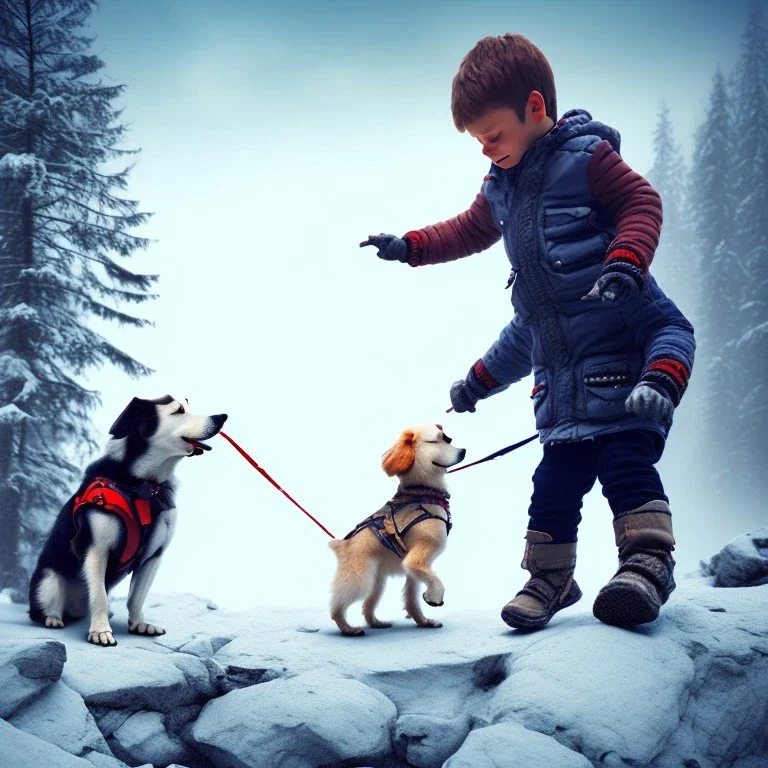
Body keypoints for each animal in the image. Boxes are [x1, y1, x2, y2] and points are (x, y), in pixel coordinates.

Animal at [28, 396, 226, 648]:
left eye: (188, 403)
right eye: (180, 410)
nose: (221, 417)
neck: (143, 485)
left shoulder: (153, 556)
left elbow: (136, 597)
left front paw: (138, 624)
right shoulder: (96, 550)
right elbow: (100, 596)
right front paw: (100, 632)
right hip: (47, 579)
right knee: (44, 606)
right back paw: (53, 618)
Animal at [328, 426, 464, 636]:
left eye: (448, 440)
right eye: (435, 441)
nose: (463, 451)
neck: (421, 492)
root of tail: (342, 545)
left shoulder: (414, 570)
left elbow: (412, 600)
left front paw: (424, 621)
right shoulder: (417, 560)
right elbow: (436, 582)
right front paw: (434, 597)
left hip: (377, 581)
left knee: (367, 606)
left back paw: (376, 623)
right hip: (360, 578)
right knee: (338, 603)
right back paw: (348, 628)